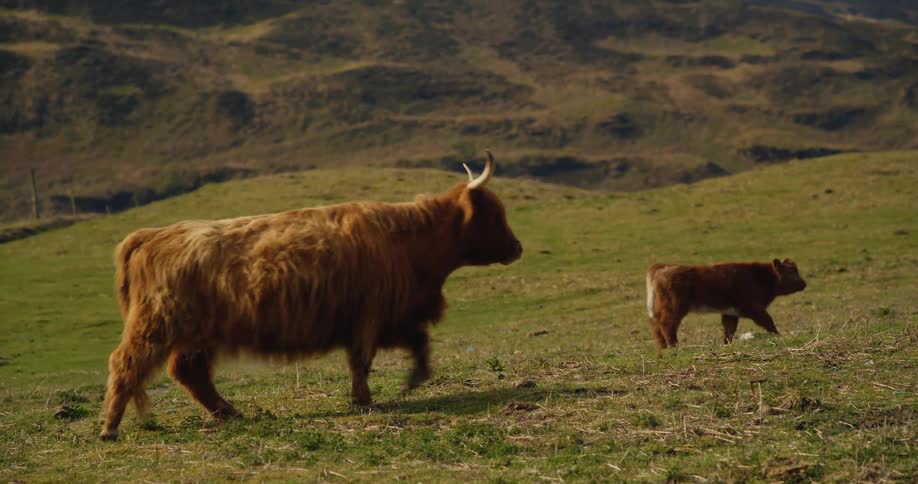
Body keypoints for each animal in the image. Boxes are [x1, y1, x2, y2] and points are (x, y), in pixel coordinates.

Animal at [99, 151, 523, 441]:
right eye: (495, 216)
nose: (518, 248)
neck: (407, 243)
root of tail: (153, 234)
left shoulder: (393, 315)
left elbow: (418, 343)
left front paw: (413, 380)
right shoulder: (368, 316)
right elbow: (362, 361)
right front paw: (365, 401)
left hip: (197, 334)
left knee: (189, 372)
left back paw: (228, 412)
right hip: (155, 326)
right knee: (126, 364)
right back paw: (109, 428)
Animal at [645, 259, 807, 349]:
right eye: (791, 271)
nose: (804, 284)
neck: (762, 276)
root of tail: (661, 266)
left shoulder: (730, 313)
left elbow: (729, 331)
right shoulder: (754, 308)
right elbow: (769, 322)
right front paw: (780, 336)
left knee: (656, 326)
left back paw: (664, 347)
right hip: (674, 308)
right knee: (667, 325)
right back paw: (674, 346)